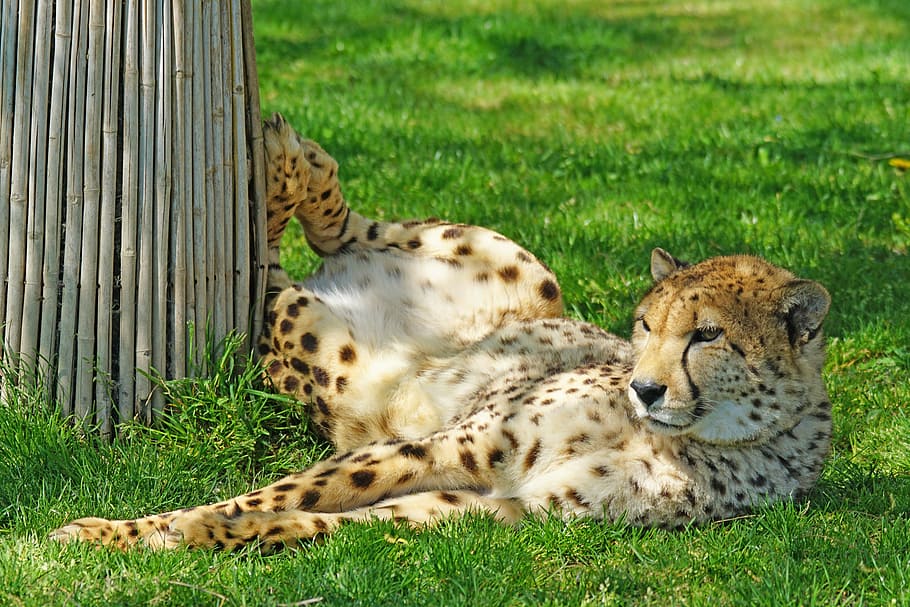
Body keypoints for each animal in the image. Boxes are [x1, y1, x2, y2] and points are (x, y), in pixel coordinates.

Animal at [50, 114, 833, 551]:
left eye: (708, 335)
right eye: (646, 324)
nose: (645, 387)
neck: (676, 437)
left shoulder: (510, 505)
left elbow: (340, 517)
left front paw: (203, 536)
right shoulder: (458, 443)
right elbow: (277, 493)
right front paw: (126, 530)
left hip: (314, 345)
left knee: (276, 274)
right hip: (515, 266)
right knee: (336, 227)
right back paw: (288, 161)